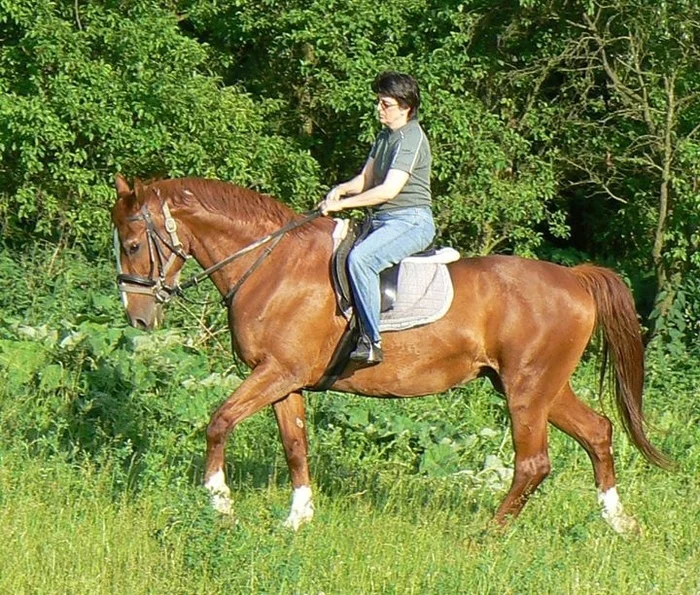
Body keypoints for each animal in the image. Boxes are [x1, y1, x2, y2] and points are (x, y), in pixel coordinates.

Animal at [112, 175, 668, 532]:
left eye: (133, 244)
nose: (138, 317)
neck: (273, 264)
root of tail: (574, 279)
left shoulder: (276, 373)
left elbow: (218, 421)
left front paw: (220, 503)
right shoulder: (285, 381)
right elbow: (295, 445)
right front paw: (297, 519)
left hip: (527, 389)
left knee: (534, 463)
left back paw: (487, 535)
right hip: (541, 386)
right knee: (597, 432)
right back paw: (619, 522)